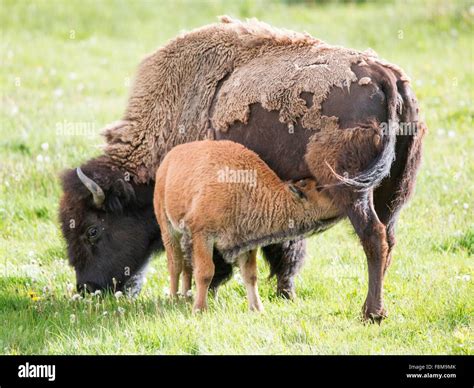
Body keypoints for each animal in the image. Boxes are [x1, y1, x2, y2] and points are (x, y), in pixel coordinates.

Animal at [58, 17, 426, 322]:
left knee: (373, 237)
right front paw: (284, 293)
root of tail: (385, 77)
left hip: (352, 191)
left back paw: (371, 312)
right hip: (393, 193)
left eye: (92, 230)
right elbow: (286, 248)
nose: (88, 288)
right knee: (389, 238)